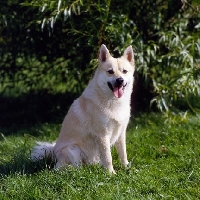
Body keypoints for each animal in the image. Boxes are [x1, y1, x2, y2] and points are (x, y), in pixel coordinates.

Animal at [30, 44, 135, 173]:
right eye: (110, 71)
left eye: (124, 71)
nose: (120, 80)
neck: (113, 101)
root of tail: (53, 151)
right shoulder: (103, 135)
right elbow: (108, 157)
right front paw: (111, 173)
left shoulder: (121, 133)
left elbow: (123, 153)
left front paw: (127, 168)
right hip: (73, 150)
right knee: (65, 167)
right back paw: (76, 171)